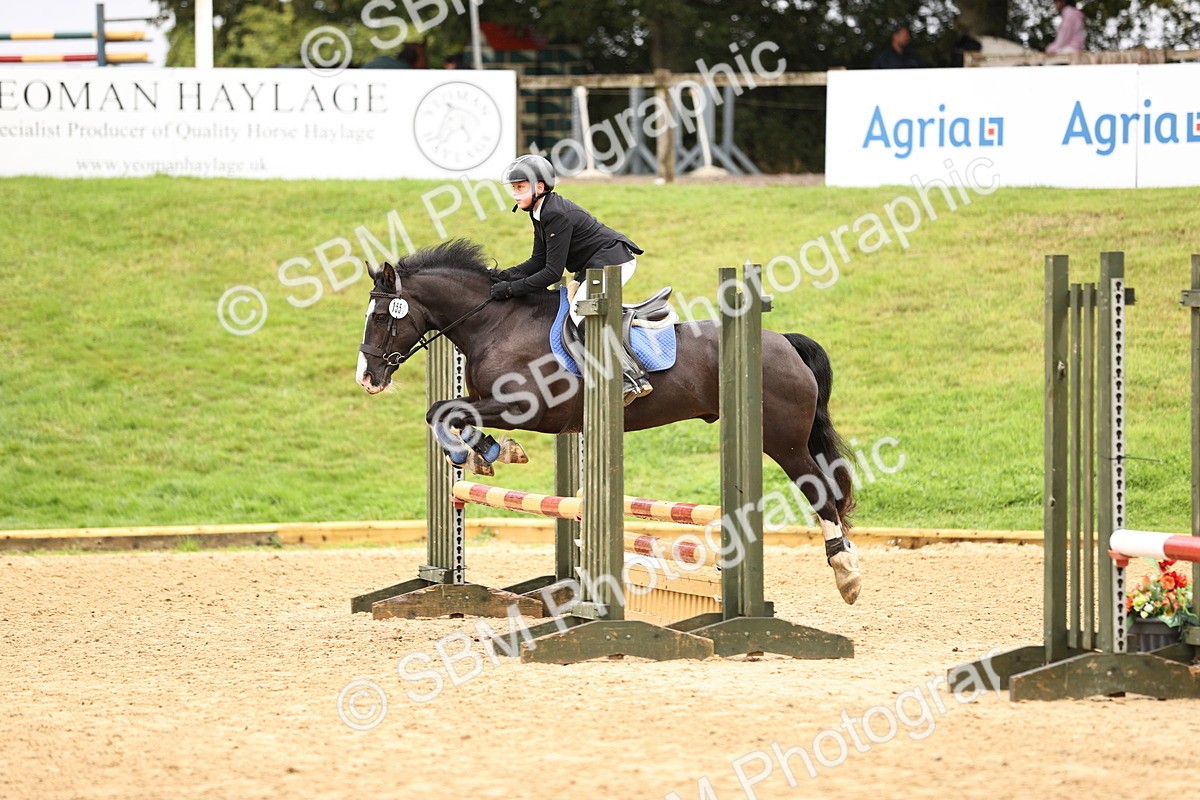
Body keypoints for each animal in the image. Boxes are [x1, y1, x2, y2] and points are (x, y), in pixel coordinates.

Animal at [355, 240, 862, 604]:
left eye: (381, 315)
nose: (367, 378)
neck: (496, 325)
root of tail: (783, 342)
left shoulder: (527, 407)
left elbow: (445, 412)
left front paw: (493, 451)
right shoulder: (490, 403)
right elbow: (445, 412)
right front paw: (484, 454)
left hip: (783, 441)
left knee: (822, 490)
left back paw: (846, 574)